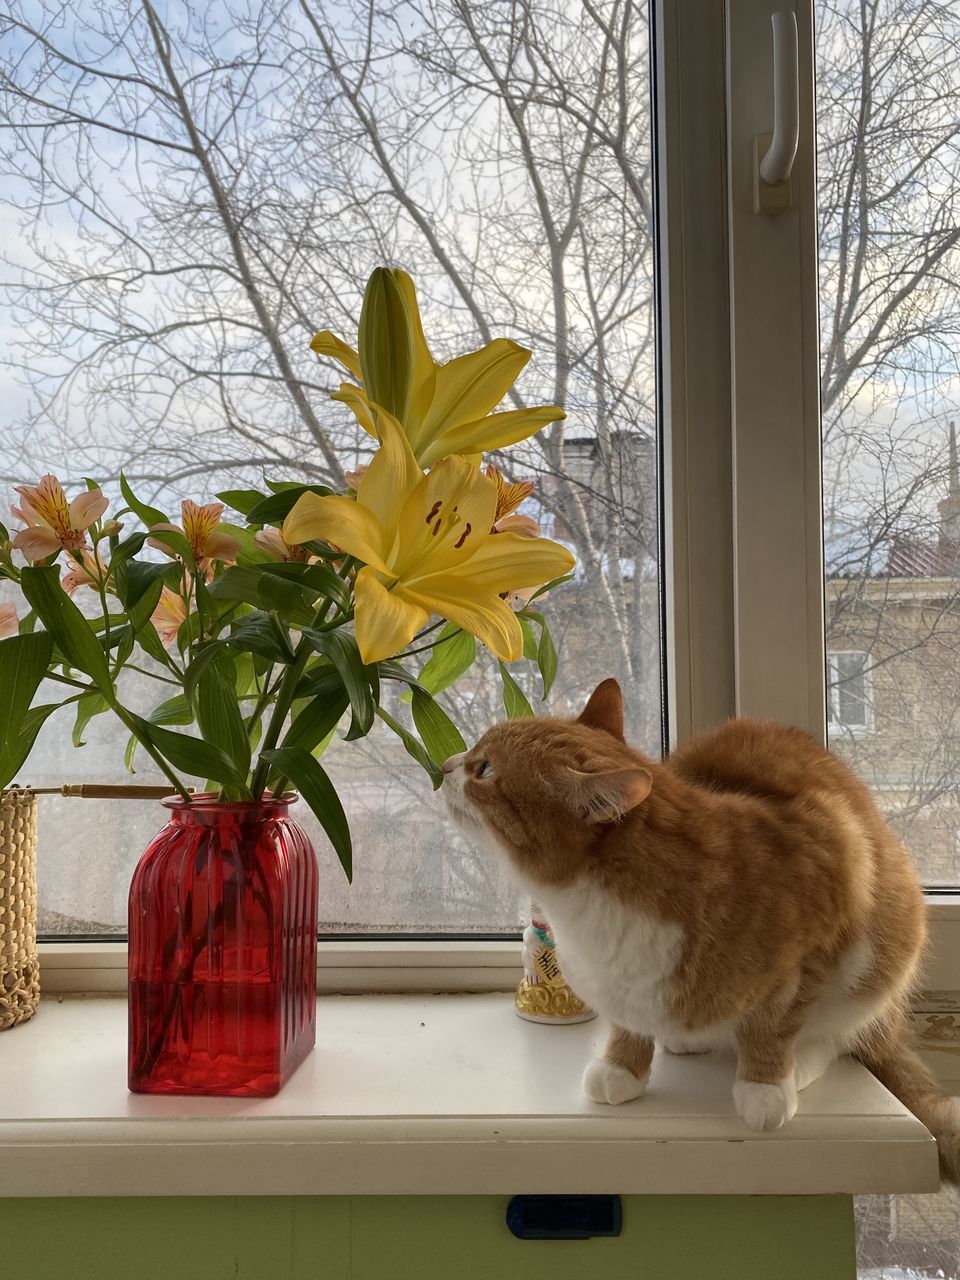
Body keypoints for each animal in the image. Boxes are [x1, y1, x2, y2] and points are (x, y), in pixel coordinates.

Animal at [442, 680, 960, 1177]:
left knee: (842, 1032)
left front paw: (765, 1082)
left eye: (484, 768)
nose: (445, 765)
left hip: (883, 954)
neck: (589, 912)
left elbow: (776, 1025)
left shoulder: (825, 916)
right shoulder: (620, 984)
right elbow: (628, 1023)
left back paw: (798, 1067)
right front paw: (621, 1067)